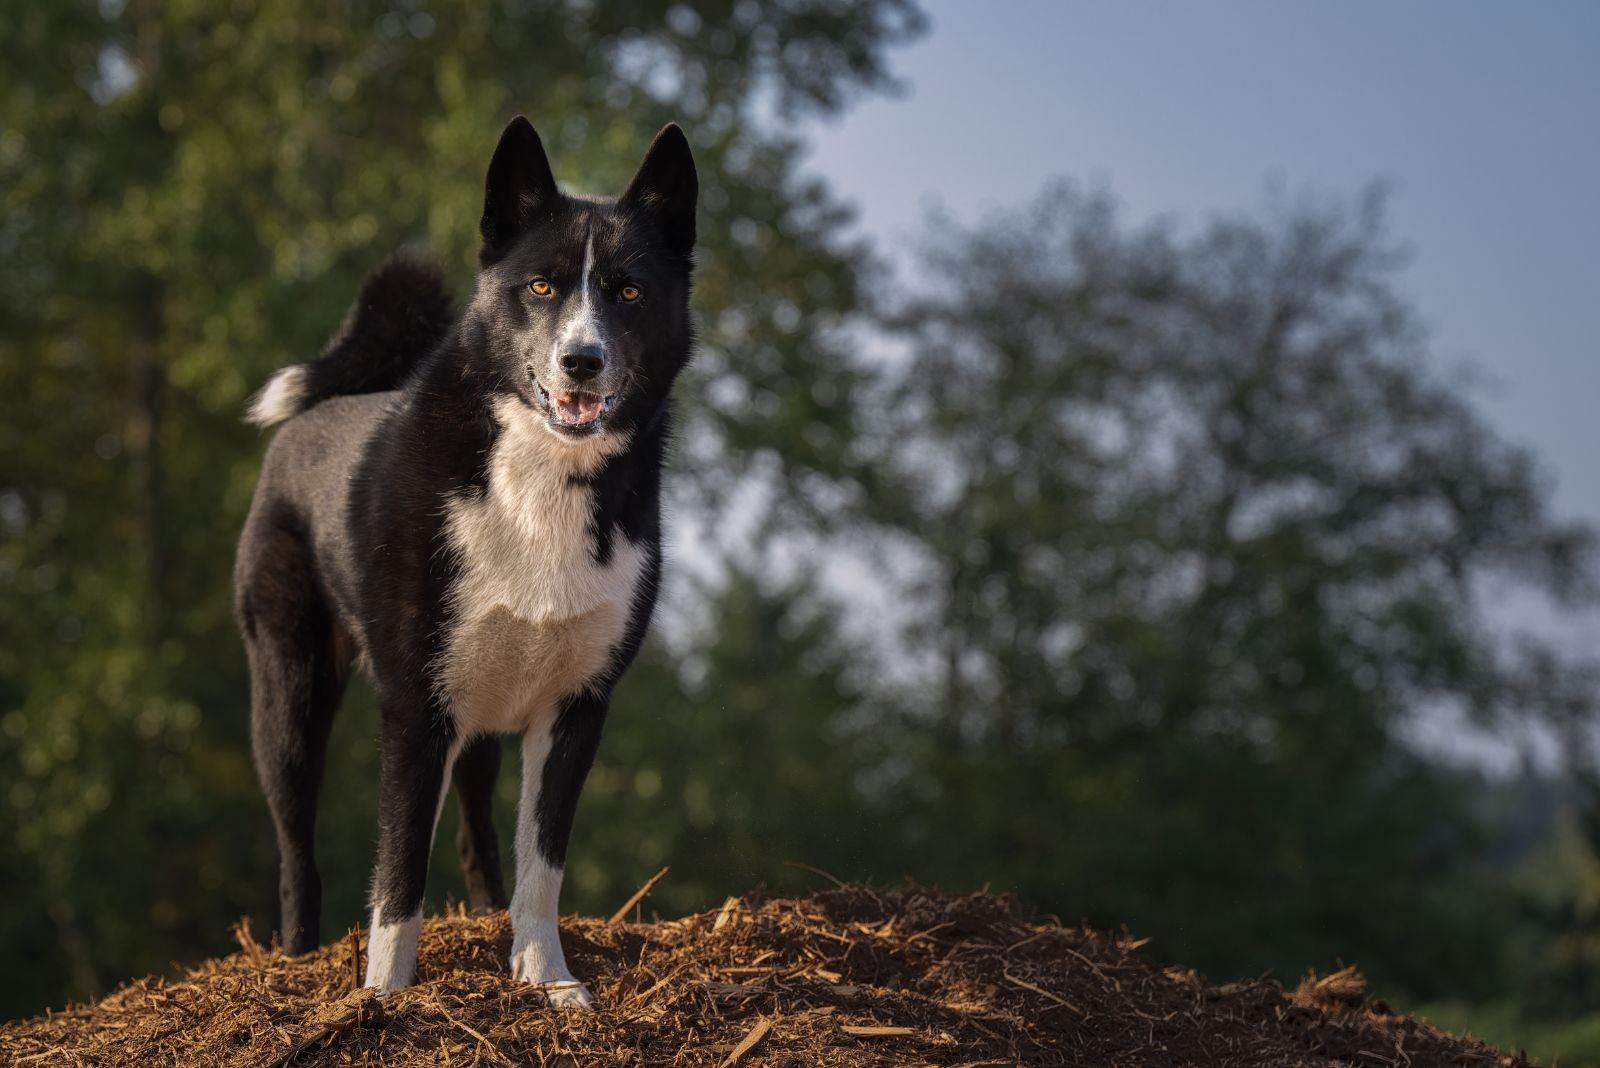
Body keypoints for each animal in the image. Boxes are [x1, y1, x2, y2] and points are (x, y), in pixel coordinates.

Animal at [235, 120, 694, 1004]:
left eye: (628, 294)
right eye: (542, 287)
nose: (582, 361)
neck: (541, 473)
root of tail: (320, 411)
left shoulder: (576, 709)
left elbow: (539, 865)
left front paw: (549, 983)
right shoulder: (417, 710)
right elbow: (397, 874)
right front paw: (382, 999)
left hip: (482, 710)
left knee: (478, 835)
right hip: (290, 698)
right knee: (295, 852)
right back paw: (297, 963)